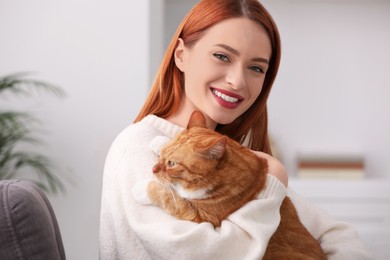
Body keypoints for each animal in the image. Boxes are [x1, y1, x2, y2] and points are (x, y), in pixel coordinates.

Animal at [143, 110, 326, 258]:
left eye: (172, 164)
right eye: (163, 157)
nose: (153, 169)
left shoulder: (202, 216)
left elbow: (169, 197)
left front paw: (141, 189)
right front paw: (159, 141)